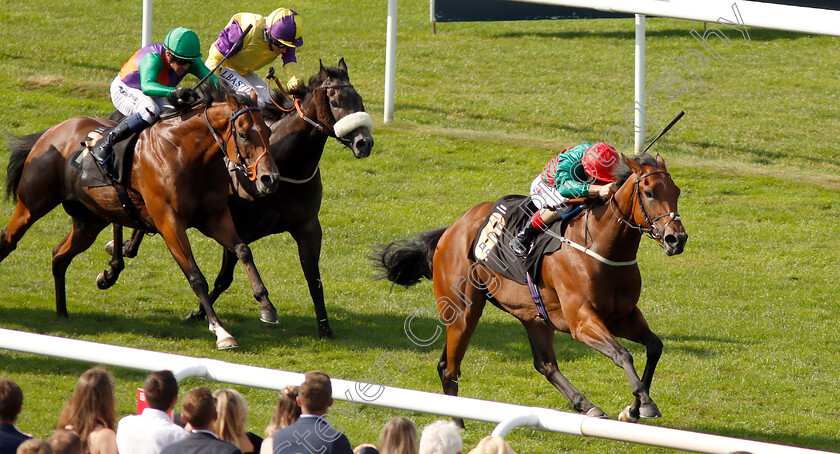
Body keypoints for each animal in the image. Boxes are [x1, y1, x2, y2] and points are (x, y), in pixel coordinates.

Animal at [0, 83, 284, 350]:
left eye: (268, 132)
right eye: (243, 134)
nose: (269, 179)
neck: (185, 153)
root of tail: (52, 131)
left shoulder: (214, 217)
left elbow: (243, 250)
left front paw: (267, 306)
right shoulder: (169, 222)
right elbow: (195, 276)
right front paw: (221, 331)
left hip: (89, 221)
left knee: (59, 255)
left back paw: (62, 313)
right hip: (32, 204)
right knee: (9, 239)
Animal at [102, 58, 370, 336]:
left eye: (359, 99)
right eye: (335, 102)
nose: (364, 142)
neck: (286, 165)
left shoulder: (307, 227)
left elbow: (313, 278)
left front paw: (325, 328)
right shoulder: (238, 225)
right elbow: (225, 277)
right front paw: (203, 313)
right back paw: (114, 264)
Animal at [378, 154, 684, 424]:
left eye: (677, 191)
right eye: (649, 192)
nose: (676, 239)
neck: (600, 247)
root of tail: (452, 229)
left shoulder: (623, 317)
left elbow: (654, 346)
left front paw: (634, 408)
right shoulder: (582, 321)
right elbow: (622, 354)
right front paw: (644, 404)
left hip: (534, 315)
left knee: (545, 364)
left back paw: (586, 405)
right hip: (463, 312)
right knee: (449, 368)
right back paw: (456, 424)